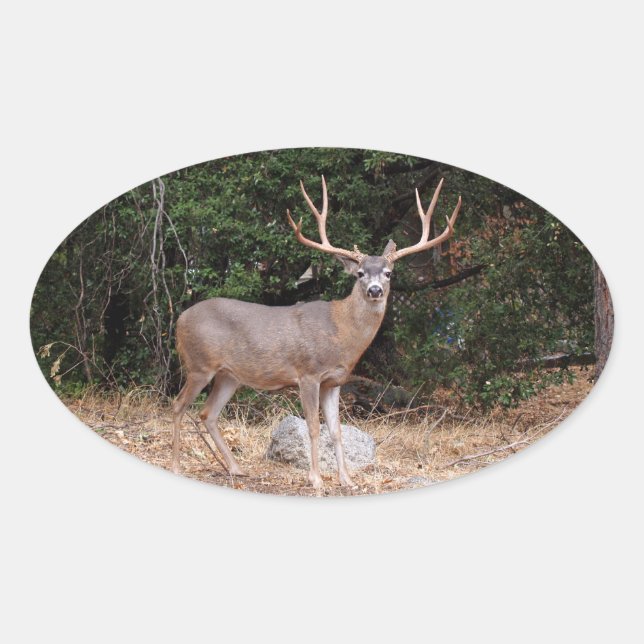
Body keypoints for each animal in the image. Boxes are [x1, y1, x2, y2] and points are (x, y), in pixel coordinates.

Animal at [171, 176, 461, 489]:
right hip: (199, 365)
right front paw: (316, 478)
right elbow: (312, 426)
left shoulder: (334, 381)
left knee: (208, 413)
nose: (375, 290)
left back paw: (237, 469)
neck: (341, 333)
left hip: (228, 375)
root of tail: (179, 320)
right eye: (360, 273)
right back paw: (176, 464)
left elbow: (336, 430)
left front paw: (347, 479)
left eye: (388, 273)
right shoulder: (307, 373)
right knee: (178, 406)